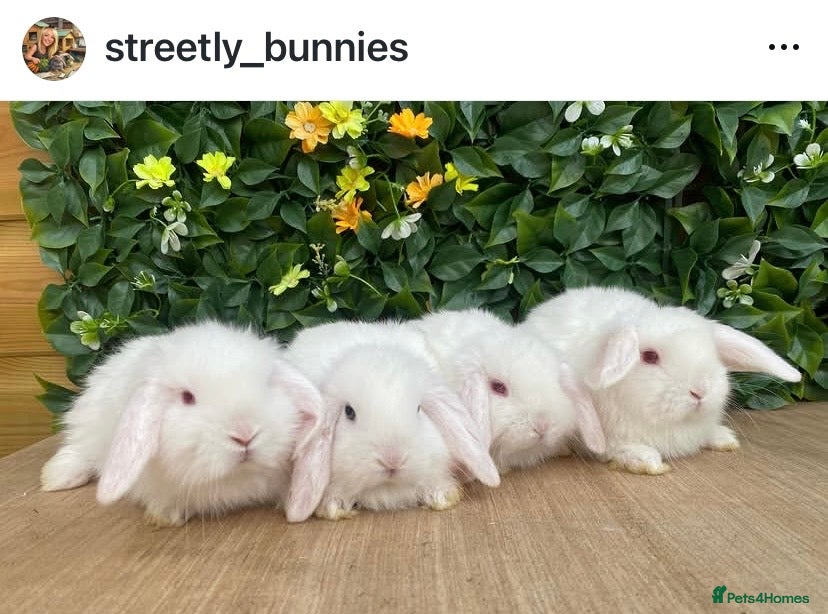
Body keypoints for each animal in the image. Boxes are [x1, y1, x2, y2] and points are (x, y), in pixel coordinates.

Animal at [40, 321, 323, 527]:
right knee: (78, 449)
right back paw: (56, 478)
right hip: (86, 421)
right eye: (187, 397)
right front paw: (165, 516)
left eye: (266, 385)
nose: (245, 434)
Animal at [521, 286, 802, 475]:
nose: (700, 391)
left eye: (712, 352)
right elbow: (618, 449)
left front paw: (724, 438)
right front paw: (647, 461)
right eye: (649, 356)